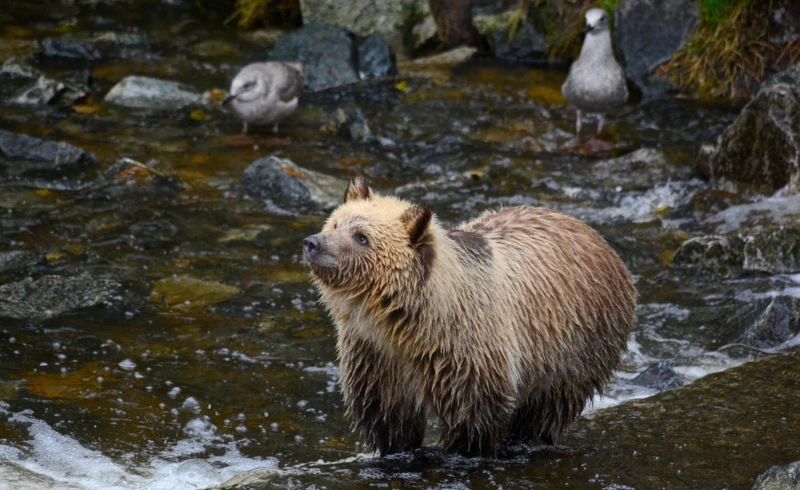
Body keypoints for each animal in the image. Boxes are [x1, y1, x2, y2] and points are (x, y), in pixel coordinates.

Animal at [303, 176, 636, 457]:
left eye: (362, 237)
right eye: (335, 222)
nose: (313, 243)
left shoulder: (467, 350)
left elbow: (473, 418)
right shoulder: (376, 356)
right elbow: (389, 417)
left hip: (575, 344)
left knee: (548, 407)